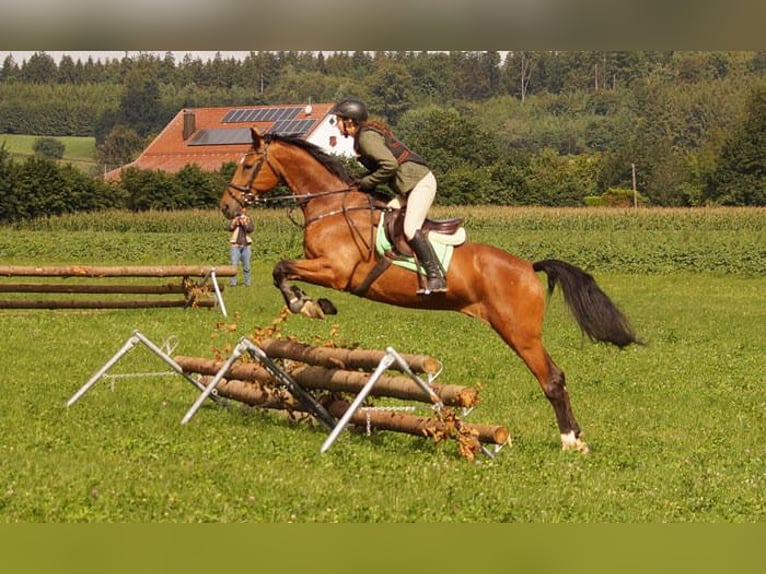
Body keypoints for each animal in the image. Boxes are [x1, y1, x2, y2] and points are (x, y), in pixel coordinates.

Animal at [222, 129, 640, 454]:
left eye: (247, 163)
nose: (227, 207)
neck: (331, 206)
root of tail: (526, 267)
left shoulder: (336, 270)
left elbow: (280, 268)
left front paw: (306, 304)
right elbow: (282, 270)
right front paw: (314, 304)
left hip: (519, 333)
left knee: (552, 378)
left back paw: (570, 441)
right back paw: (577, 436)